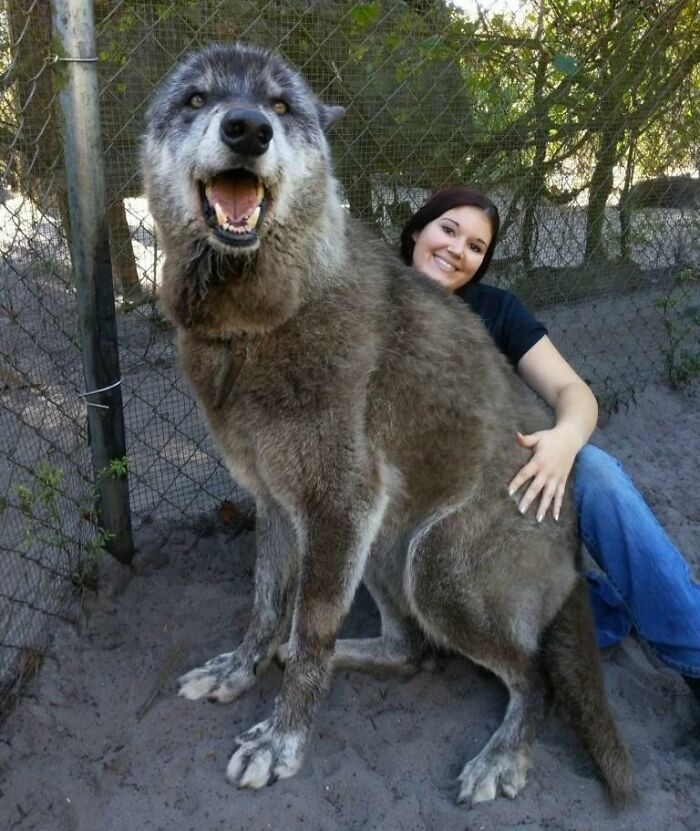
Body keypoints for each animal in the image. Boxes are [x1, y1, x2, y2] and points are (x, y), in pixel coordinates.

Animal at [141, 42, 634, 805]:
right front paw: (240, 669)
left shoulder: (338, 504)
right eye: (196, 99)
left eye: (281, 105)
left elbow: (310, 626)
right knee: (409, 651)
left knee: (534, 677)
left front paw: (282, 741)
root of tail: (575, 552)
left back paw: (501, 755)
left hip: (433, 563)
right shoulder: (278, 504)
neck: (260, 320)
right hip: (382, 545)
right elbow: (265, 605)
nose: (248, 129)